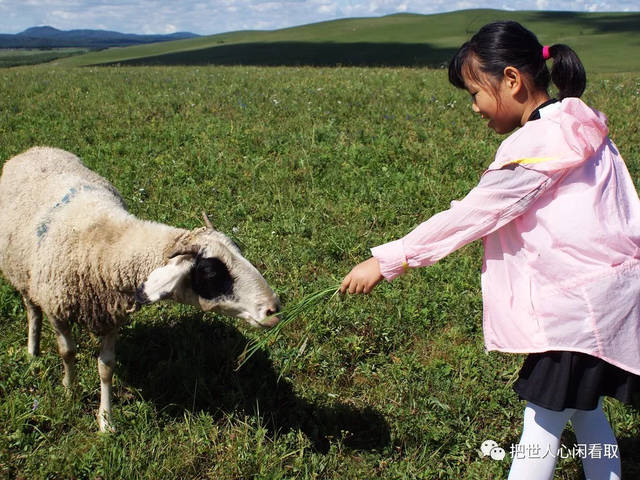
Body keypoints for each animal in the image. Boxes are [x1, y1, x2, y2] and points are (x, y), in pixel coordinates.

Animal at [0, 146, 280, 432]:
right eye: (211, 272)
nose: (273, 308)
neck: (104, 243)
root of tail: (36, 149)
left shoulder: (111, 316)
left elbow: (106, 367)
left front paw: (106, 421)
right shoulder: (57, 310)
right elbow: (68, 353)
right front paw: (70, 391)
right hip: (21, 274)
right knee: (32, 310)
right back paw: (32, 351)